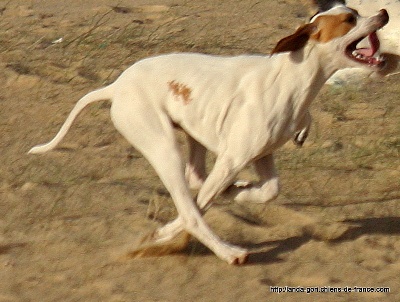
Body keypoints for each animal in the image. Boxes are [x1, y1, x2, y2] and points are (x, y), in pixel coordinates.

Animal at [29, 2, 390, 264]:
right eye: (350, 18)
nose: (384, 13)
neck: (291, 78)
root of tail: (116, 86)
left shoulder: (262, 156)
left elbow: (268, 191)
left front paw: (238, 193)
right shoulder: (232, 159)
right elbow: (198, 207)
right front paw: (168, 232)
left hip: (192, 137)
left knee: (196, 182)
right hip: (164, 149)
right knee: (191, 209)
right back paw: (229, 252)